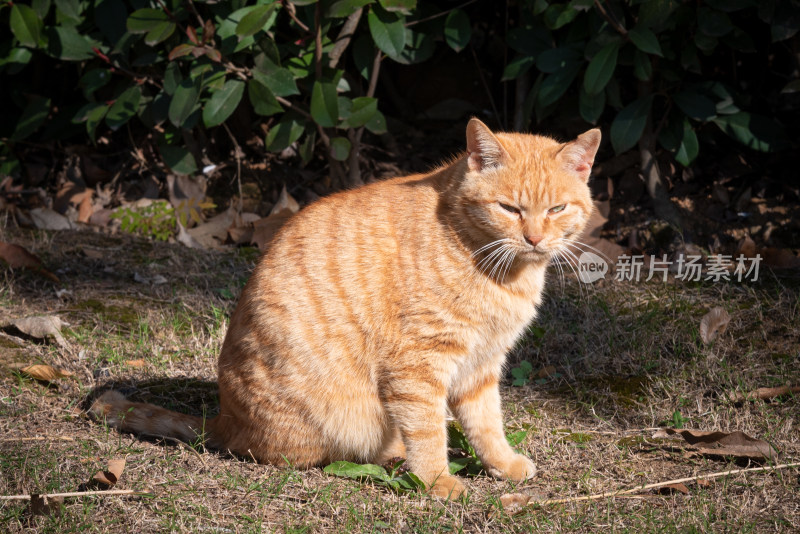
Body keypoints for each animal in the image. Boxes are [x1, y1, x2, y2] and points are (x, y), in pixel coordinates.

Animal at [89, 119, 600, 500]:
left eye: (556, 208)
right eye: (509, 208)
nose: (535, 238)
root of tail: (224, 421)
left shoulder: (481, 366)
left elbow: (487, 424)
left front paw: (502, 464)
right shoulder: (418, 366)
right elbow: (429, 430)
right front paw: (438, 482)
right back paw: (392, 456)